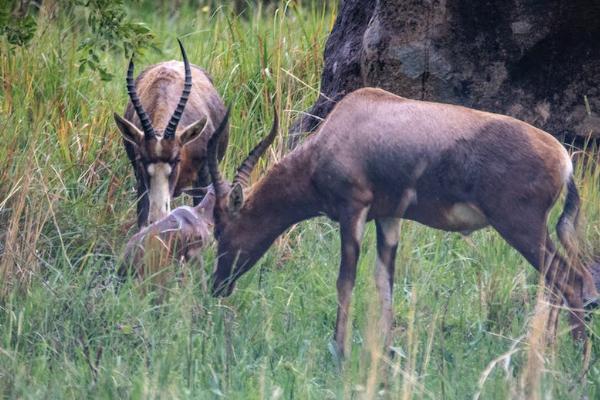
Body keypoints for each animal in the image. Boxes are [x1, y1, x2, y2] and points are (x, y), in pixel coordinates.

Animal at [207, 89, 600, 358]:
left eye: (220, 228)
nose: (216, 286)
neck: (347, 124)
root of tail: (563, 160)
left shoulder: (353, 210)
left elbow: (345, 280)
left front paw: (339, 352)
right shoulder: (388, 217)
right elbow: (385, 283)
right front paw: (385, 352)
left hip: (521, 227)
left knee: (568, 282)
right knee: (566, 281)